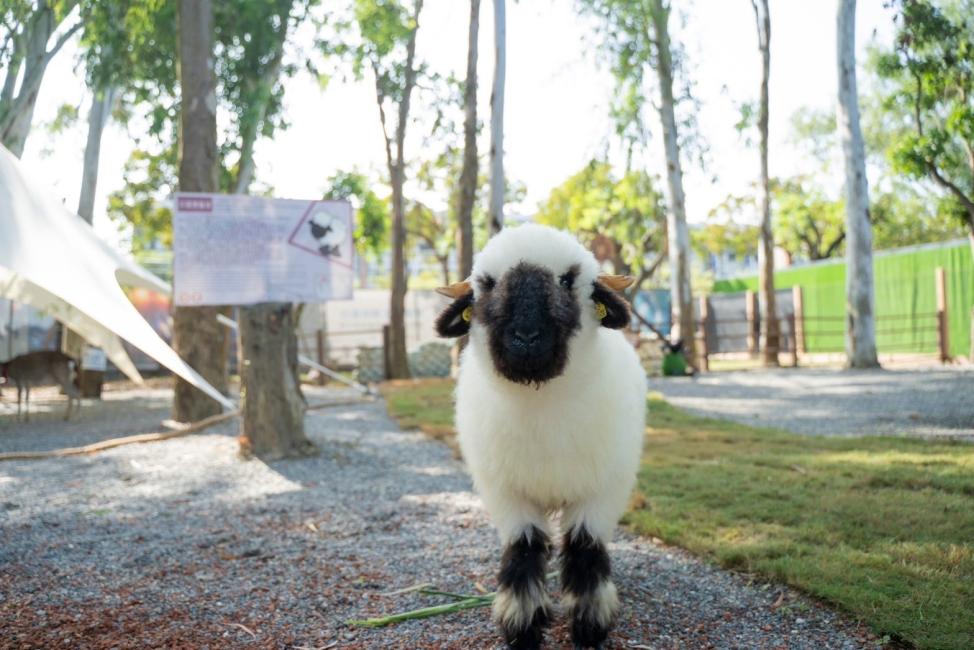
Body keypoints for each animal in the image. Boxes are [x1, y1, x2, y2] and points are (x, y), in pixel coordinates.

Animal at [436, 224, 648, 648]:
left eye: (567, 280)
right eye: (488, 283)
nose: (526, 336)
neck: (541, 408)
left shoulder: (601, 490)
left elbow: (584, 548)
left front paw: (589, 626)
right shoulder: (506, 493)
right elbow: (524, 549)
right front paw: (522, 625)